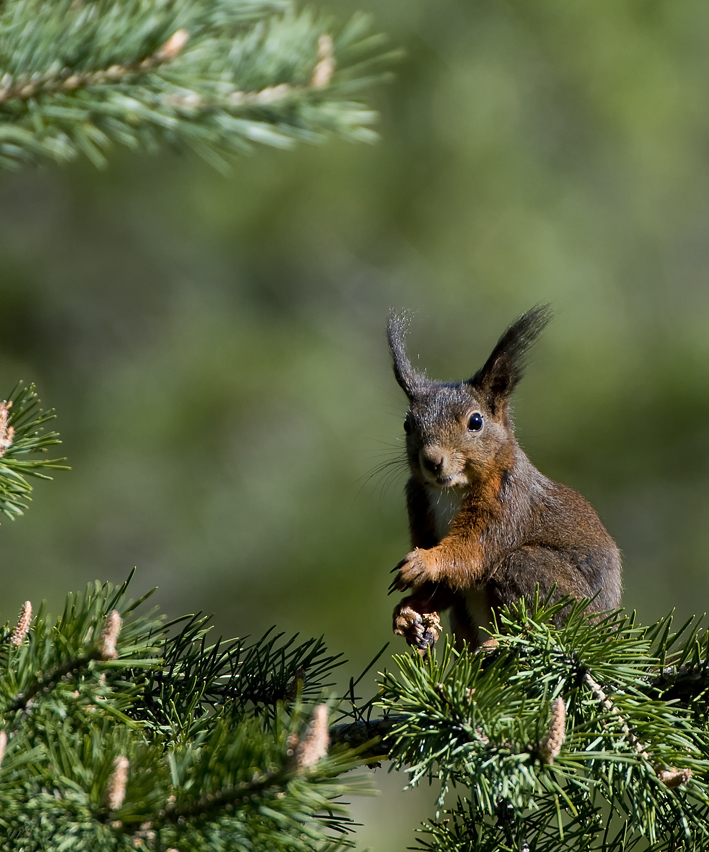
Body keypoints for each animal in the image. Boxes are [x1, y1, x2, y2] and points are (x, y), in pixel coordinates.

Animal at [388, 308, 620, 652]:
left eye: (476, 421)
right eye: (407, 425)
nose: (432, 461)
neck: (450, 491)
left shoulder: (508, 503)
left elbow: (472, 554)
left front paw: (424, 562)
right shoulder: (417, 502)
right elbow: (445, 586)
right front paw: (408, 612)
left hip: (544, 581)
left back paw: (502, 643)